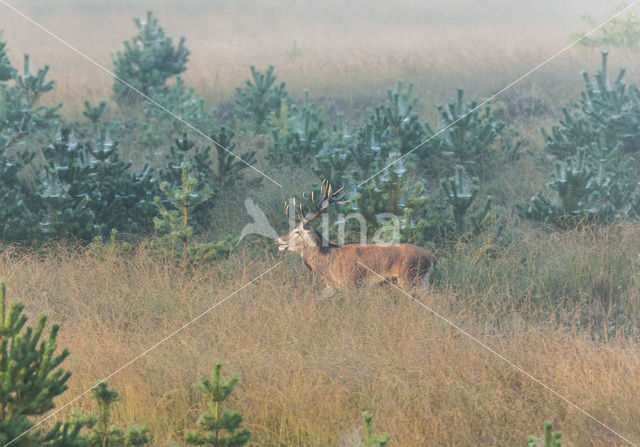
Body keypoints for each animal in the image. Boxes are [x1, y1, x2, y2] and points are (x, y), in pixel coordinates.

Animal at [276, 180, 436, 300]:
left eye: (297, 231)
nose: (278, 240)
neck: (328, 263)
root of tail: (431, 257)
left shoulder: (352, 284)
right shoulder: (333, 286)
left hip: (410, 277)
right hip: (422, 280)